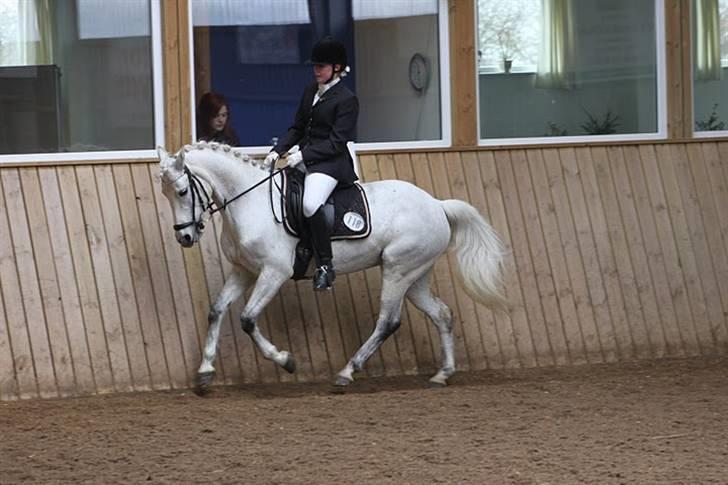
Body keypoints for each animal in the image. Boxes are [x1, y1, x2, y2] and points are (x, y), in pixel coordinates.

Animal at [157, 141, 506, 395]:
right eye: (165, 193)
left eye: (183, 191)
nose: (185, 237)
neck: (250, 202)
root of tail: (437, 205)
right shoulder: (244, 270)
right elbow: (216, 310)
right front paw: (204, 374)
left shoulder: (274, 273)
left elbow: (247, 318)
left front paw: (286, 361)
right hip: (416, 275)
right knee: (441, 314)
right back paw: (442, 374)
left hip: (398, 270)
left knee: (387, 321)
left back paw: (346, 373)